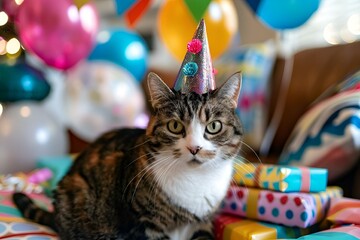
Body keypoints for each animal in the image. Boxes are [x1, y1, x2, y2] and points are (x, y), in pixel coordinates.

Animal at [13, 71, 245, 240]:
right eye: (175, 126)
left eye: (214, 126)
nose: (194, 148)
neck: (195, 181)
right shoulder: (143, 222)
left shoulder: (203, 221)